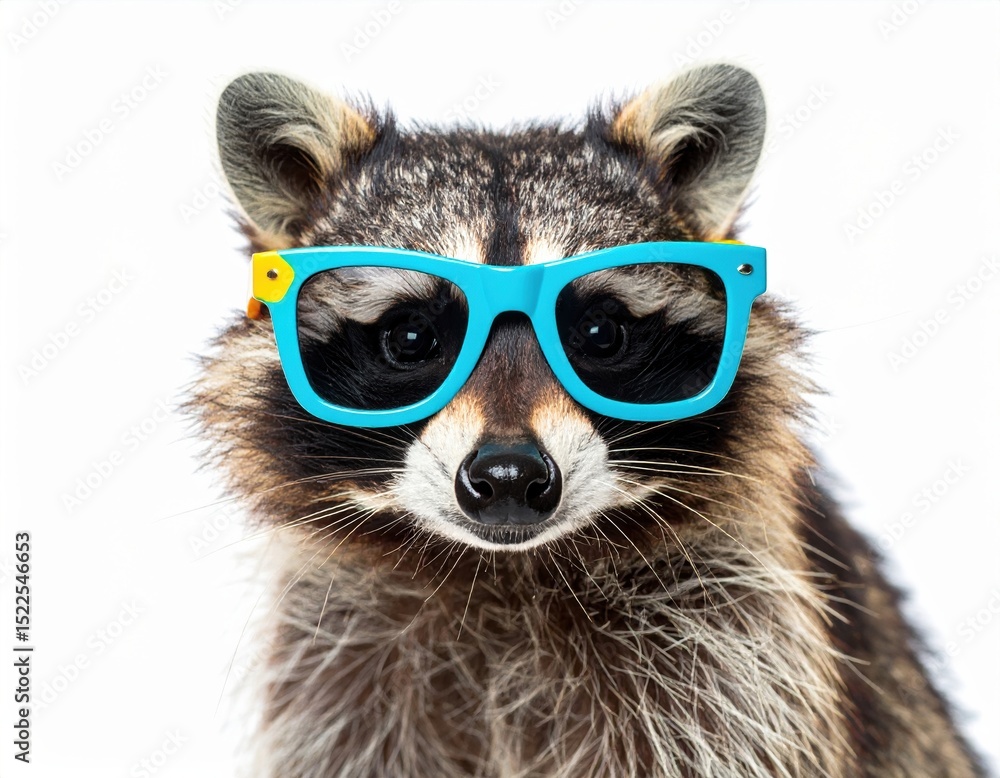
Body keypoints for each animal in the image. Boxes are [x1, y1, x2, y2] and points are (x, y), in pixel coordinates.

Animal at [190, 65, 985, 777]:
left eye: (600, 334)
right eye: (411, 338)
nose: (508, 476)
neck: (506, 575)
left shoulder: (736, 658)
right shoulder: (336, 669)